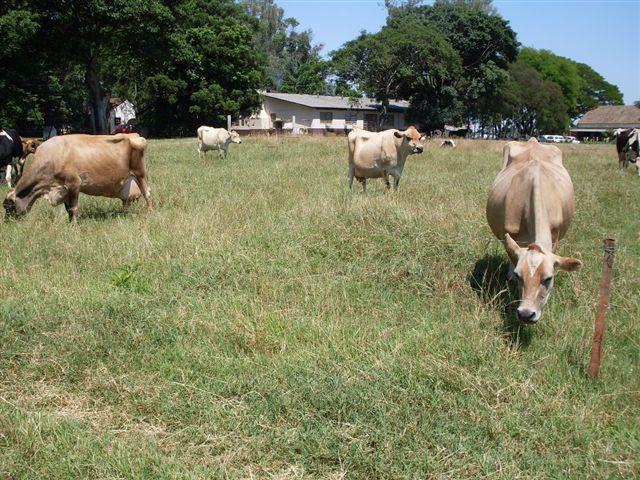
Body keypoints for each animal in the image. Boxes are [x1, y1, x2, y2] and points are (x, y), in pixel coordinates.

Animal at [4, 132, 151, 220]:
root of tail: (134, 135)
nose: (7, 222)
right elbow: (67, 208)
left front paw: (73, 226)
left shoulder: (74, 183)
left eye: (8, 205)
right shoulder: (63, 188)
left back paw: (150, 212)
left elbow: (73, 208)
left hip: (140, 173)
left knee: (147, 193)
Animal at [488, 140, 584, 326]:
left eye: (548, 279)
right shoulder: (509, 235)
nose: (526, 314)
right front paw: (510, 279)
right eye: (519, 276)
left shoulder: (555, 237)